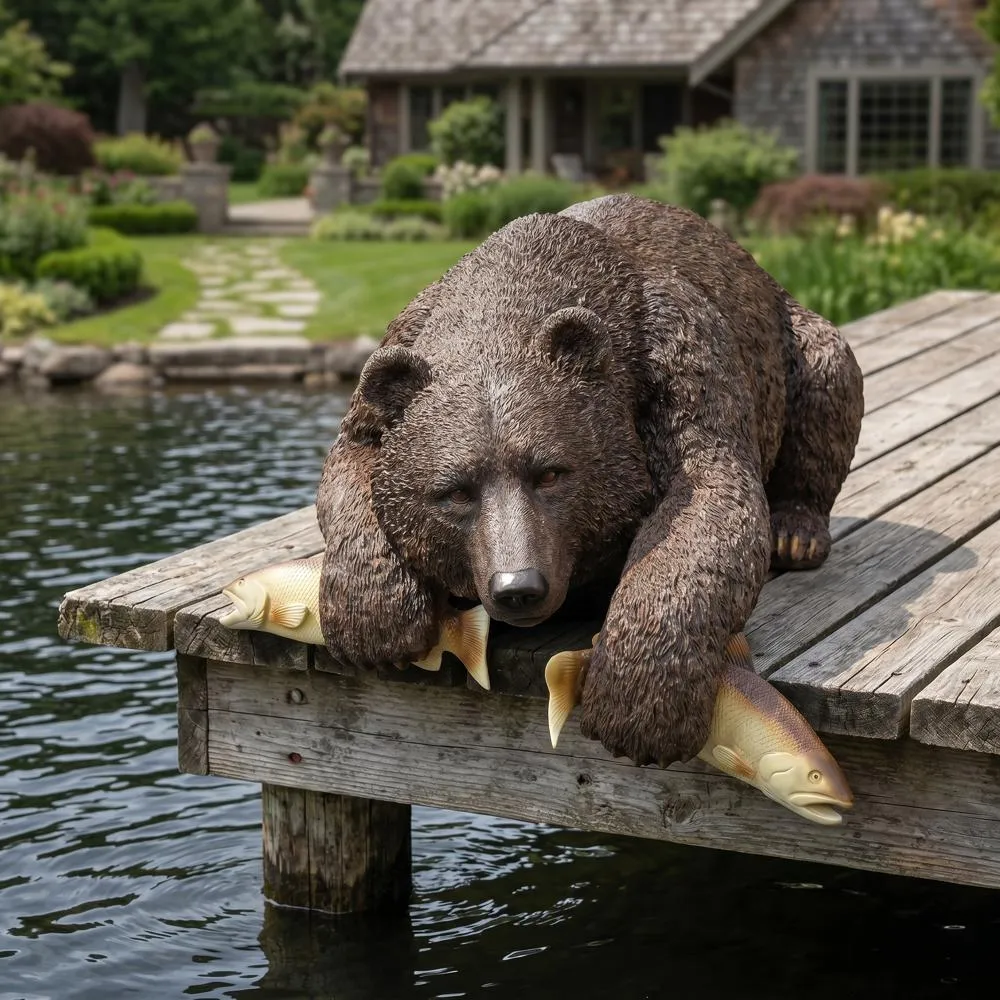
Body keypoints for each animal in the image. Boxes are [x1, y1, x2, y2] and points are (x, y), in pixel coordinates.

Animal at [315, 193, 864, 768]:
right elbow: (351, 464)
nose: (518, 587)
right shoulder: (397, 354)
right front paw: (377, 622)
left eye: (551, 472)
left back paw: (796, 532)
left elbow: (709, 496)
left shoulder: (679, 362)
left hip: (795, 342)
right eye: (456, 491)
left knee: (828, 380)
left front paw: (637, 707)